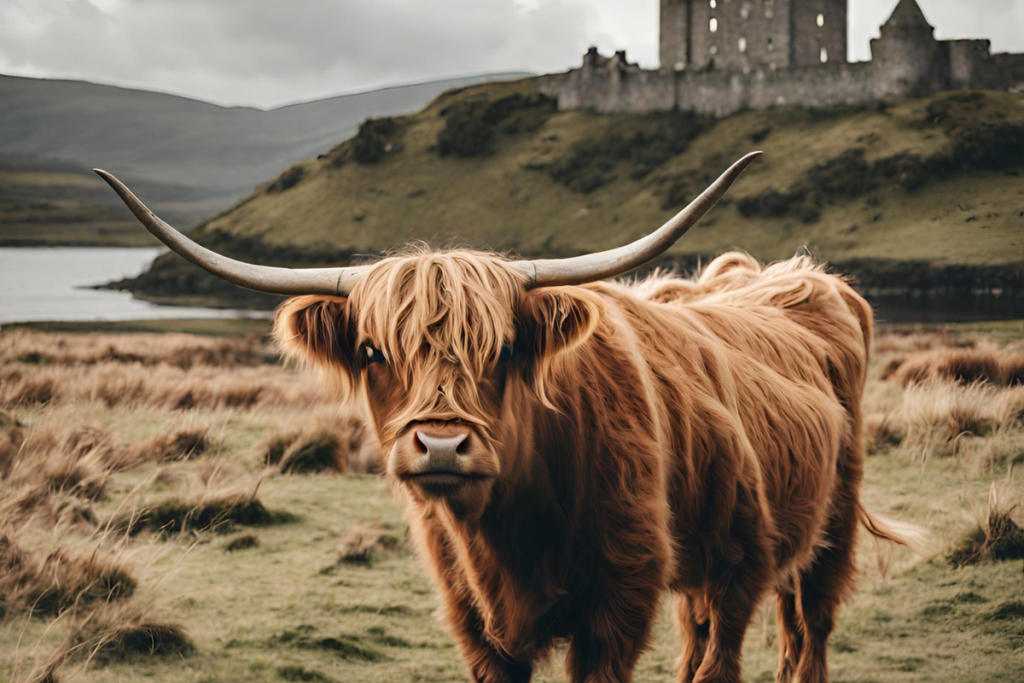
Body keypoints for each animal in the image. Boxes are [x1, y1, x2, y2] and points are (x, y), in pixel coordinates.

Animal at [97, 154, 929, 683]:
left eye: (500, 347)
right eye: (371, 349)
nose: (440, 443)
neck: (518, 526)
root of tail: (796, 276)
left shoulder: (618, 604)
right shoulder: (475, 624)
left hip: (806, 533)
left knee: (796, 636)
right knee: (706, 644)